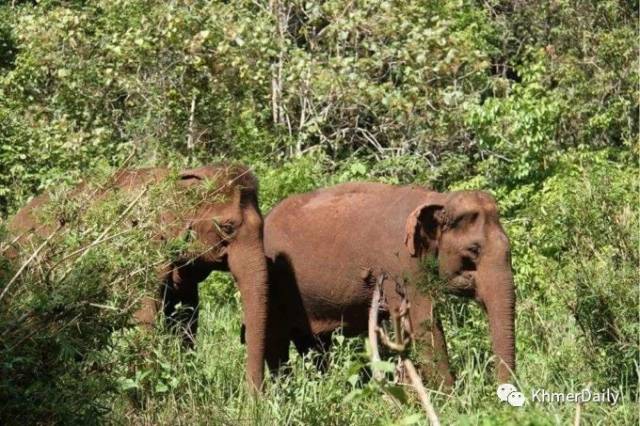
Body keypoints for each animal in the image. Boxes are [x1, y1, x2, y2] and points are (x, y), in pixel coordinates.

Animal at [262, 181, 516, 384]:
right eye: (473, 250)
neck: (437, 199)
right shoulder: (401, 265)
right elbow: (423, 323)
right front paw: (450, 400)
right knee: (279, 341)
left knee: (312, 344)